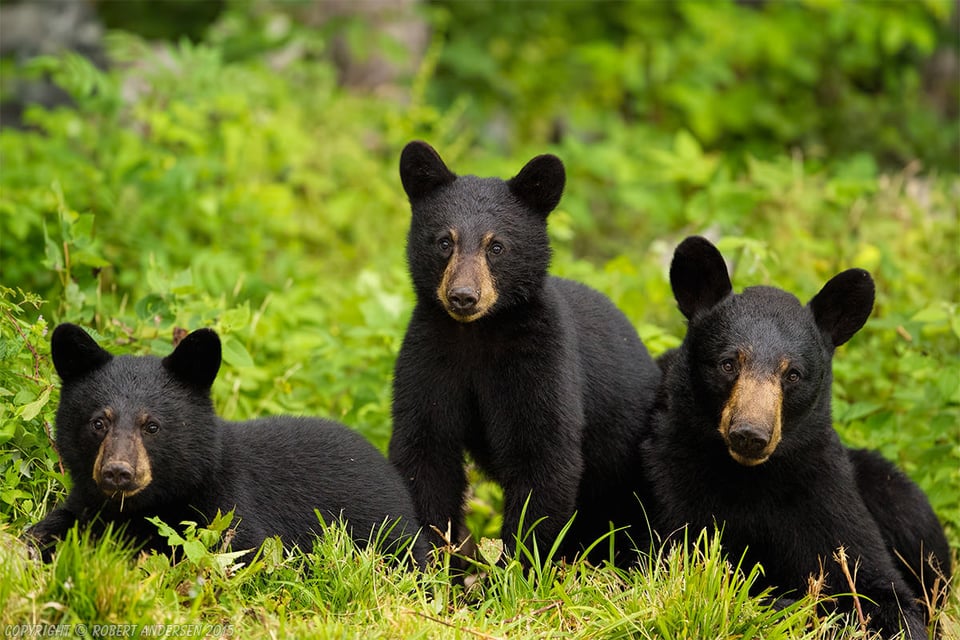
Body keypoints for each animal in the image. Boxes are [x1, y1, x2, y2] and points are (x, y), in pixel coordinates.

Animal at [26, 322, 428, 568]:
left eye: (152, 425)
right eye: (99, 422)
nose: (118, 472)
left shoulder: (226, 505)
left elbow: (239, 552)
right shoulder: (88, 504)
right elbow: (55, 525)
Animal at [388, 141, 660, 564]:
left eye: (496, 246)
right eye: (445, 241)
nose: (463, 296)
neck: (478, 334)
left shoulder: (540, 357)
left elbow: (543, 454)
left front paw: (517, 567)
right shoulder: (430, 354)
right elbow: (426, 450)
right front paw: (436, 560)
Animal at [644, 236, 952, 640]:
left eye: (793, 374)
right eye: (728, 363)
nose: (750, 434)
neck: (751, 477)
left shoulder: (819, 484)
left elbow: (874, 584)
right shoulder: (674, 474)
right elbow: (690, 566)